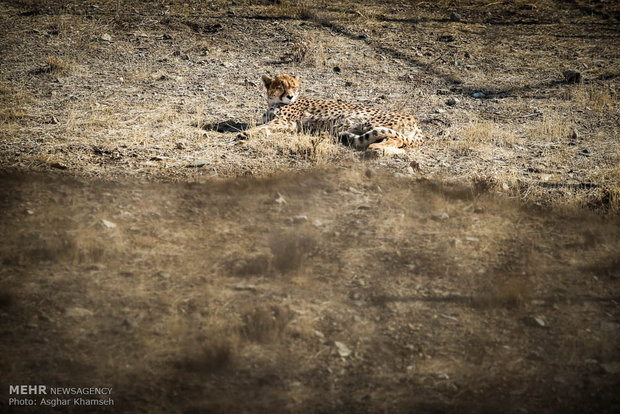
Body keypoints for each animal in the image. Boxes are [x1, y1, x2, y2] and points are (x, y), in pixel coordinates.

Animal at [236, 74, 422, 152]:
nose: (290, 96)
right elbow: (265, 128)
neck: (274, 102)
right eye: (281, 86)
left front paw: (246, 133)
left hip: (371, 122)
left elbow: (261, 128)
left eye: (294, 86)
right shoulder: (286, 125)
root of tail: (415, 119)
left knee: (397, 139)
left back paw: (376, 147)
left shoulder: (285, 122)